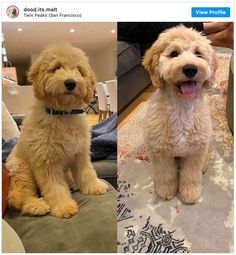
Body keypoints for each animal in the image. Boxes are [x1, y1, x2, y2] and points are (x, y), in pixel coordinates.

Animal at [6, 43, 108, 217]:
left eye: (78, 69)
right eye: (56, 67)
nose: (70, 83)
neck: (63, 114)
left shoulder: (80, 153)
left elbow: (87, 172)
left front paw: (94, 186)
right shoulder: (47, 162)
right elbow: (55, 187)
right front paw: (64, 206)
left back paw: (72, 182)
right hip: (22, 170)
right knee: (19, 196)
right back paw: (36, 205)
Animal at [142, 25, 218, 204]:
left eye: (198, 54)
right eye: (174, 53)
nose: (190, 68)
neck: (182, 108)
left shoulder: (195, 153)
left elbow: (191, 175)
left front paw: (190, 193)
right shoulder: (161, 153)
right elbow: (165, 174)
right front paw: (166, 190)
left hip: (207, 141)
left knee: (207, 153)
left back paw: (204, 165)